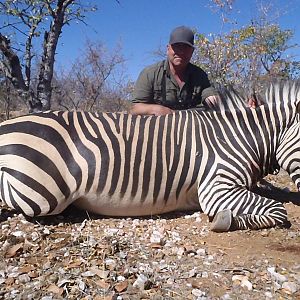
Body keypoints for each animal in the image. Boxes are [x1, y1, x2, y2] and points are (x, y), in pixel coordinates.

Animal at [0, 79, 298, 232]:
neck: (239, 137)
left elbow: (276, 203)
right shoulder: (216, 187)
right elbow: (278, 210)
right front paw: (227, 220)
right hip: (41, 195)